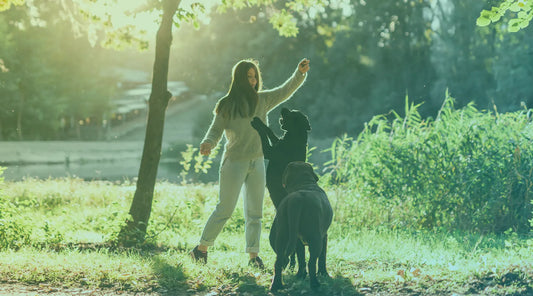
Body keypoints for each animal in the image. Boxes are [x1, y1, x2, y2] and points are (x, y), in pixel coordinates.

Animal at [270, 161, 332, 290]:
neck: (304, 184)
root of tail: (296, 199)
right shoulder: (324, 236)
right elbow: (322, 258)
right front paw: (324, 273)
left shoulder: (298, 241)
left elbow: (300, 257)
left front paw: (300, 275)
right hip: (316, 240)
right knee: (312, 262)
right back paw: (315, 285)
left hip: (282, 236)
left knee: (278, 262)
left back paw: (277, 285)